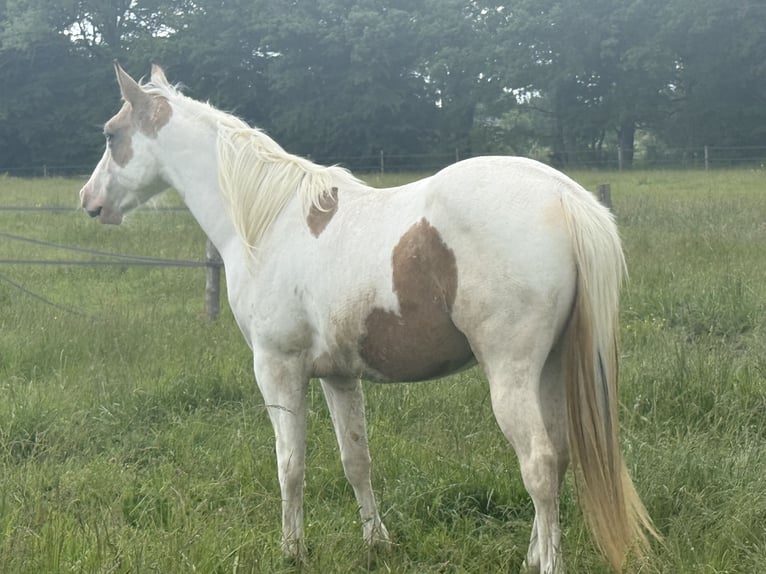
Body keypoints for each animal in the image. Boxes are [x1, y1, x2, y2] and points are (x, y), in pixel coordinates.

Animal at [79, 63, 656, 573]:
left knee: (537, 463)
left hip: (511, 374)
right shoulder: (338, 375)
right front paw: (377, 543)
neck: (270, 222)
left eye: (110, 135)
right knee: (558, 456)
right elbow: (356, 461)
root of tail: (564, 197)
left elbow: (290, 465)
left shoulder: (277, 368)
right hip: (552, 367)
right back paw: (531, 556)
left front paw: (292, 552)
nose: (89, 201)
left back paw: (546, 563)